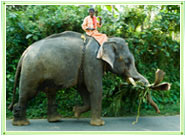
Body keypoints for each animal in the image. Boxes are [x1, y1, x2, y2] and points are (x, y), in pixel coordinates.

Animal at [8, 30, 160, 126]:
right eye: (127, 62)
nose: (158, 111)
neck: (106, 41)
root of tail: (25, 52)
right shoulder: (92, 61)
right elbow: (95, 88)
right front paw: (99, 124)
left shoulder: (84, 66)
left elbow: (82, 87)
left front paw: (76, 112)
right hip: (31, 71)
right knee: (28, 93)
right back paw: (22, 123)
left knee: (51, 92)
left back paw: (55, 120)